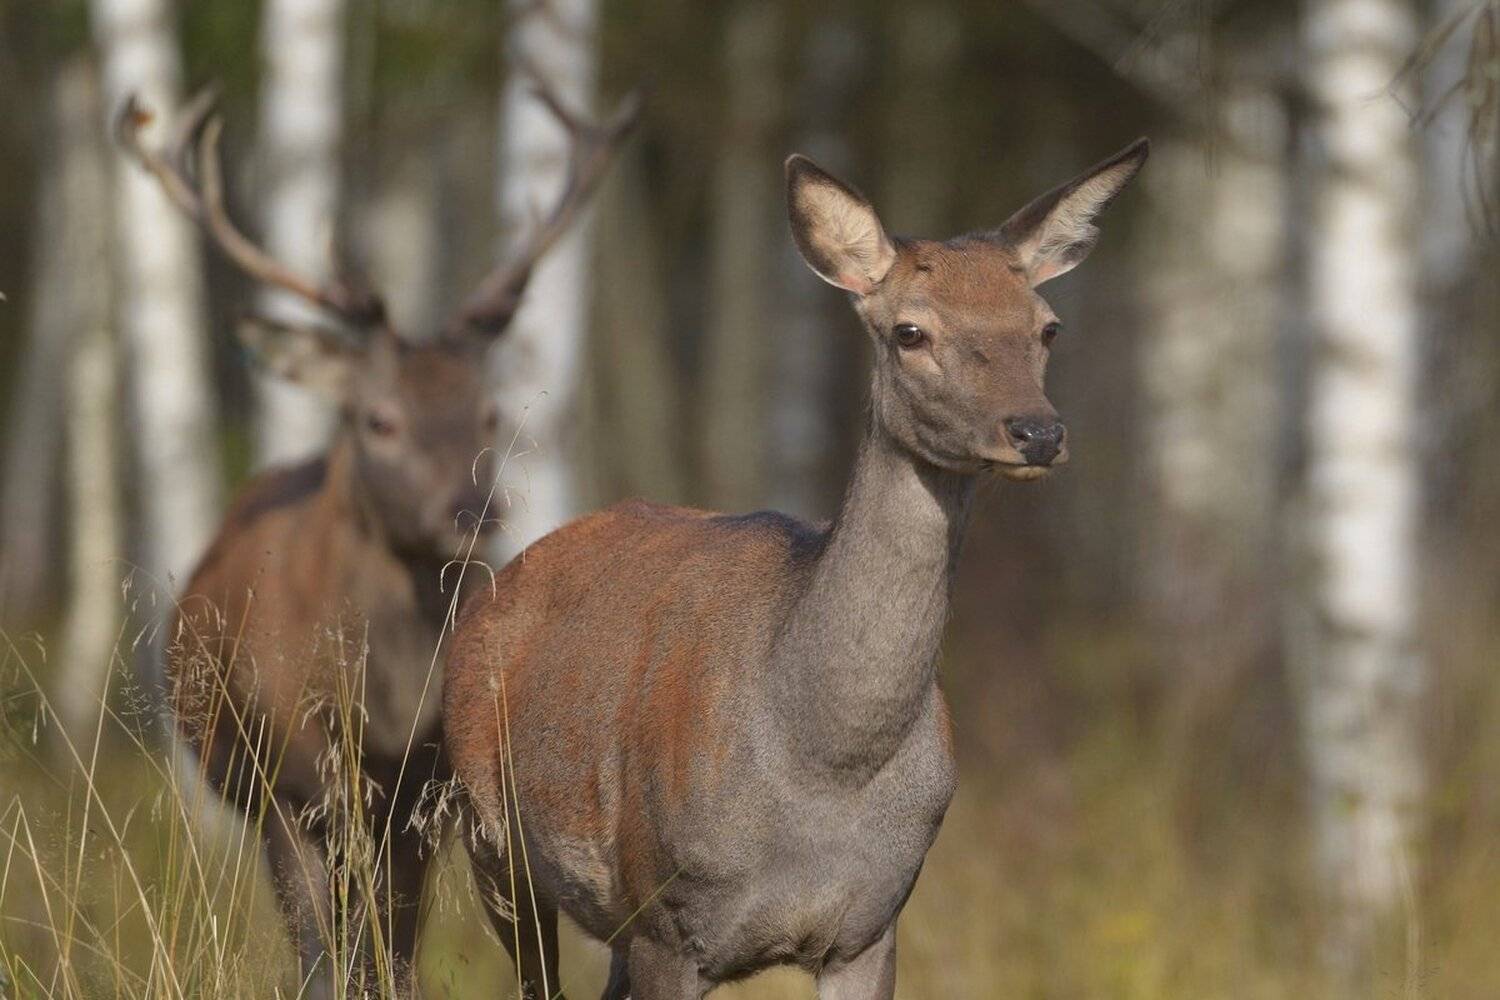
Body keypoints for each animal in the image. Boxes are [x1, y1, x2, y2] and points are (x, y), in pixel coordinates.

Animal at [119, 82, 640, 998]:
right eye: (380, 419)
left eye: (489, 414)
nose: (474, 510)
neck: (384, 705)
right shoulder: (287, 781)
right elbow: (321, 957)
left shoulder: (425, 796)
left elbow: (394, 954)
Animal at [442, 136, 1148, 999]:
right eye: (910, 332)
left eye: (1047, 327)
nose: (1039, 432)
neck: (821, 778)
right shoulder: (666, 914)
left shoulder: (872, 923)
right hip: (491, 837)